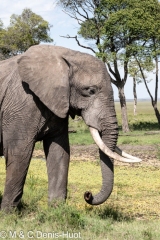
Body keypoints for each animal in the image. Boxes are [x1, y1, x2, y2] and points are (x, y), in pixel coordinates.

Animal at [0, 45, 140, 210]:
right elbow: (19, 152)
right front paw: (8, 213)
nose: (88, 194)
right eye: (90, 91)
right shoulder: (21, 104)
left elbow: (60, 151)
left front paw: (56, 209)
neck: (65, 56)